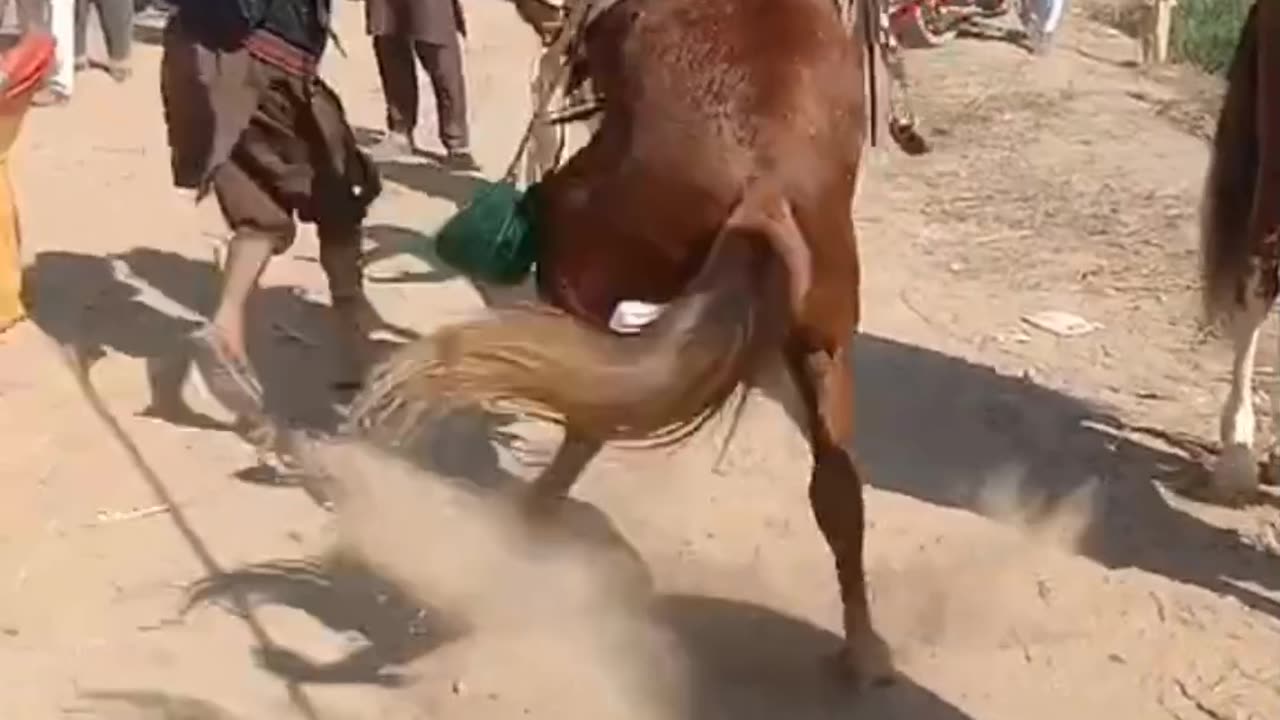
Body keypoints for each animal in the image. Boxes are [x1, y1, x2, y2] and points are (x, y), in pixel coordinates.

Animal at [353, 0, 899, 685]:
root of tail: (767, 185)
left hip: (581, 247)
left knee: (588, 396)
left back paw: (526, 511)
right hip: (821, 349)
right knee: (836, 491)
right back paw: (864, 650)